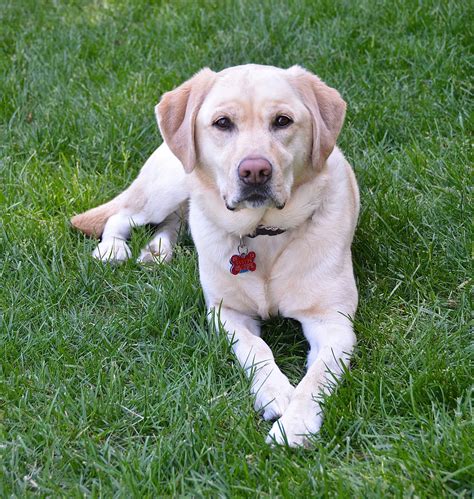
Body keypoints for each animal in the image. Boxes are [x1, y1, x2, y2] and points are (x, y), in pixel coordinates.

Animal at [71, 64, 360, 448]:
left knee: (175, 220)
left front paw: (295, 424)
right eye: (223, 123)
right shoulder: (226, 313)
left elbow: (317, 377)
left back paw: (157, 251)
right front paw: (275, 392)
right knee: (125, 213)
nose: (255, 171)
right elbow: (256, 347)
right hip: (169, 185)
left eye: (282, 121)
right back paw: (113, 249)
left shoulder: (333, 323)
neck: (262, 233)